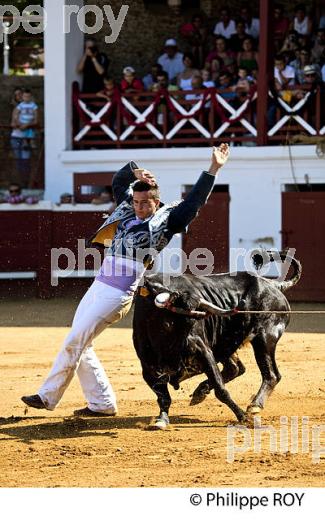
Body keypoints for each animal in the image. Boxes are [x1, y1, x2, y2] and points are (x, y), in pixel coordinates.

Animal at [132, 250, 302, 428]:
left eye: (196, 312)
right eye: (177, 313)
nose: (190, 342)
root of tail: (271, 285)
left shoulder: (204, 352)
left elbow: (220, 389)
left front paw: (243, 417)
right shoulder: (148, 368)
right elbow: (163, 396)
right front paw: (162, 419)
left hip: (265, 338)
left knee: (271, 375)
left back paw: (254, 406)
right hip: (229, 343)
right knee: (236, 368)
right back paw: (201, 392)